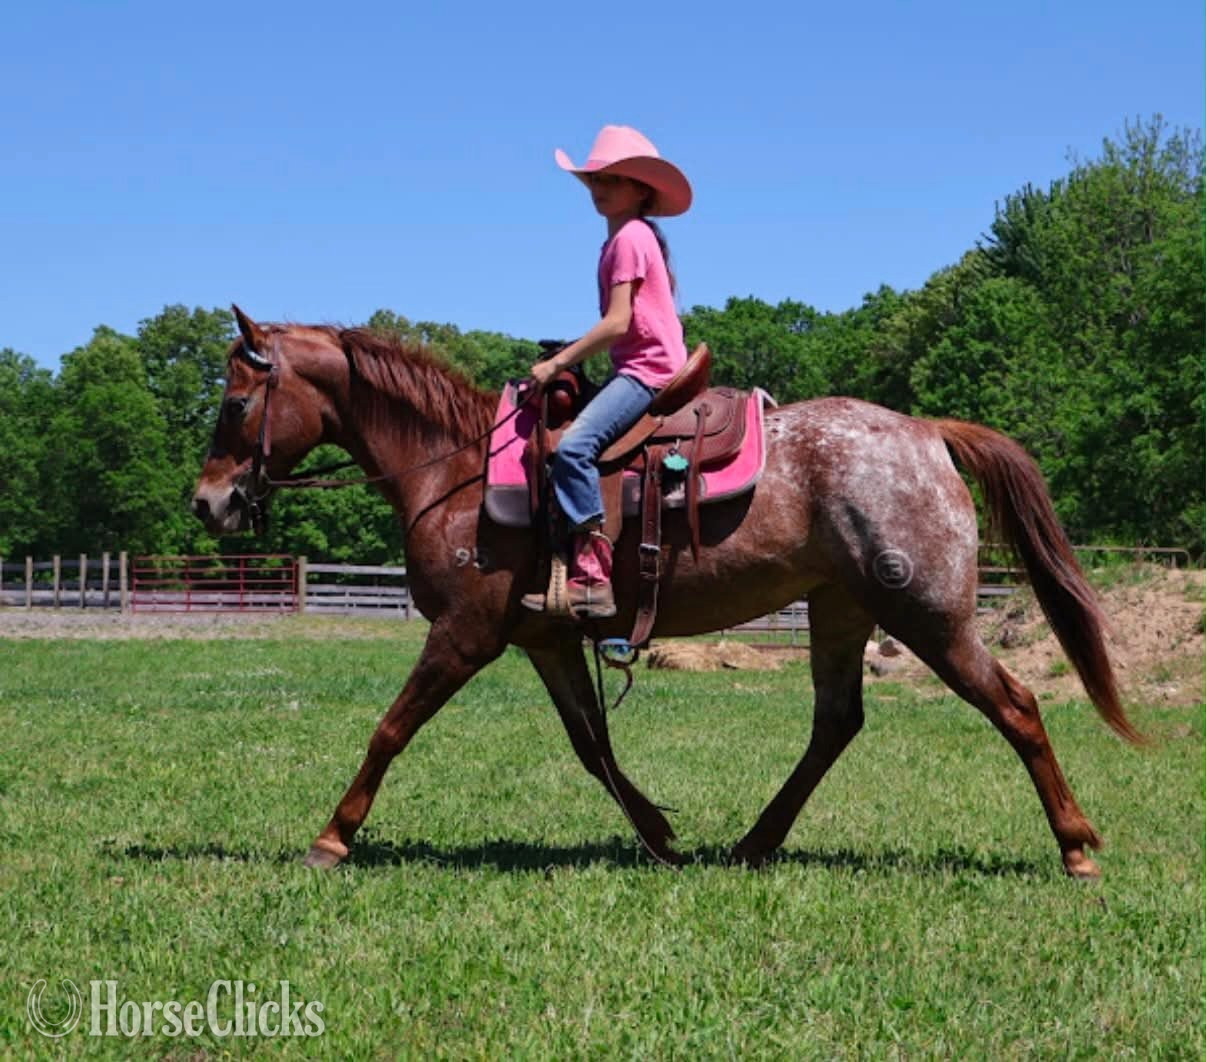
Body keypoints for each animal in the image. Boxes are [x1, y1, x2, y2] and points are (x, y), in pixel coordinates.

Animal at [192, 307, 1141, 879]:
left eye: (235, 405)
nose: (208, 503)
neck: (457, 473)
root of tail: (929, 434)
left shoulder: (464, 634)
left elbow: (390, 729)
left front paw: (332, 836)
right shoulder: (544, 639)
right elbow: (590, 745)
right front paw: (658, 834)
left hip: (931, 618)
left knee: (1016, 707)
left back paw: (1076, 848)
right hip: (841, 611)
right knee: (835, 724)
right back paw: (754, 842)